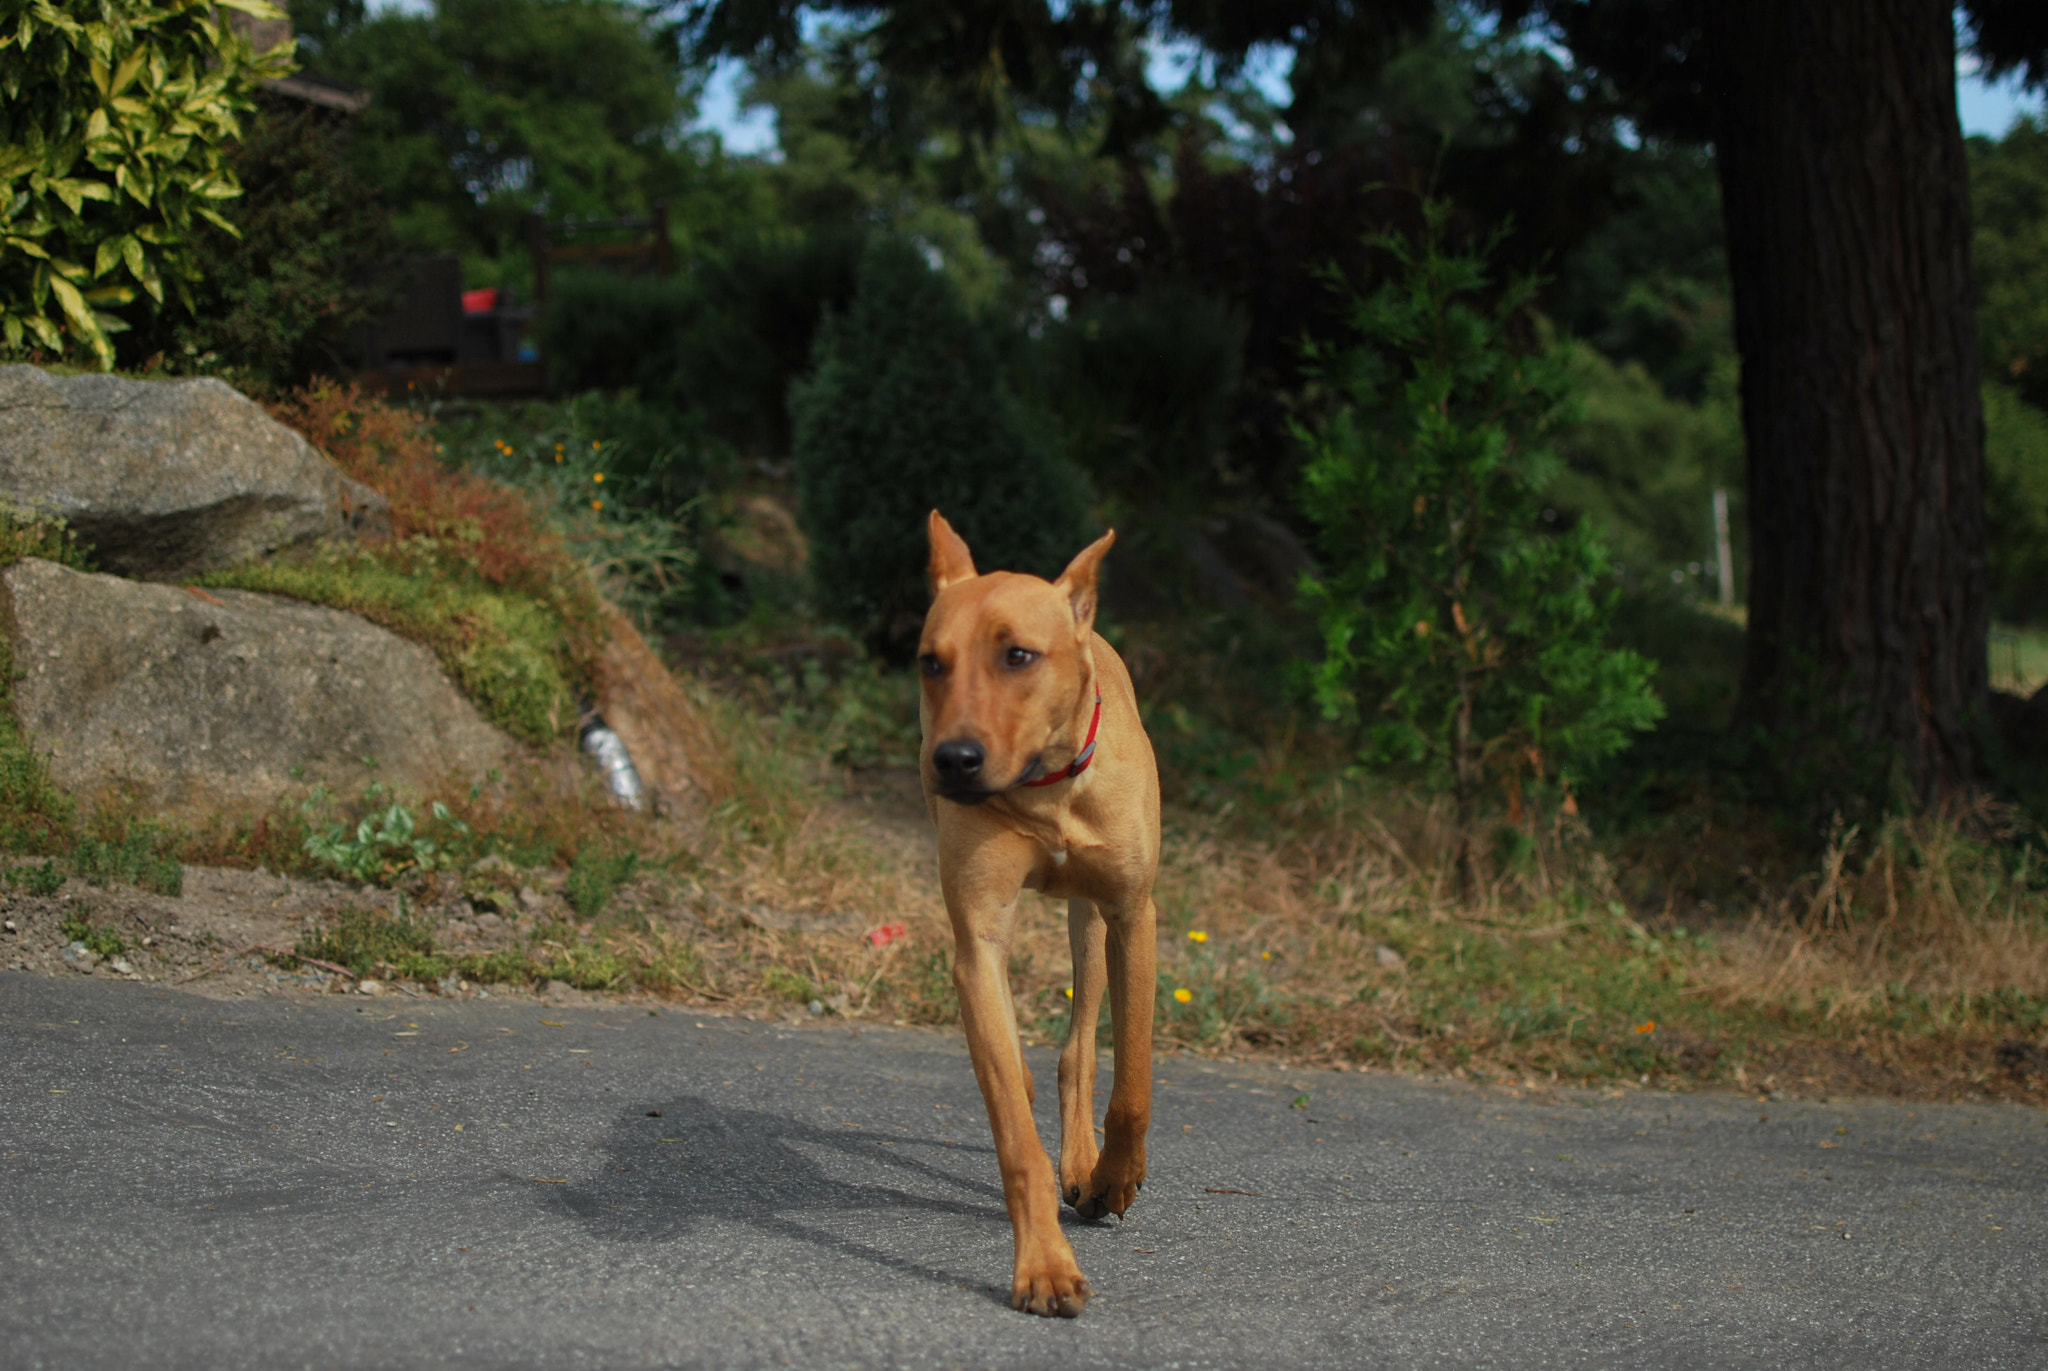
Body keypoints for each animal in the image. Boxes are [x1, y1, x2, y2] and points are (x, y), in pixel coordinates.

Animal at [921, 510, 1163, 1311]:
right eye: (931, 662)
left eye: (1019, 655)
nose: (953, 760)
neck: (1046, 787)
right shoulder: (978, 946)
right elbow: (1016, 1138)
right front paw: (1046, 1264)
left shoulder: (1132, 916)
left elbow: (1133, 1087)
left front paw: (1115, 1176)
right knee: (1033, 1074)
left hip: (1089, 924)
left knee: (1081, 1045)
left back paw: (1088, 1163)